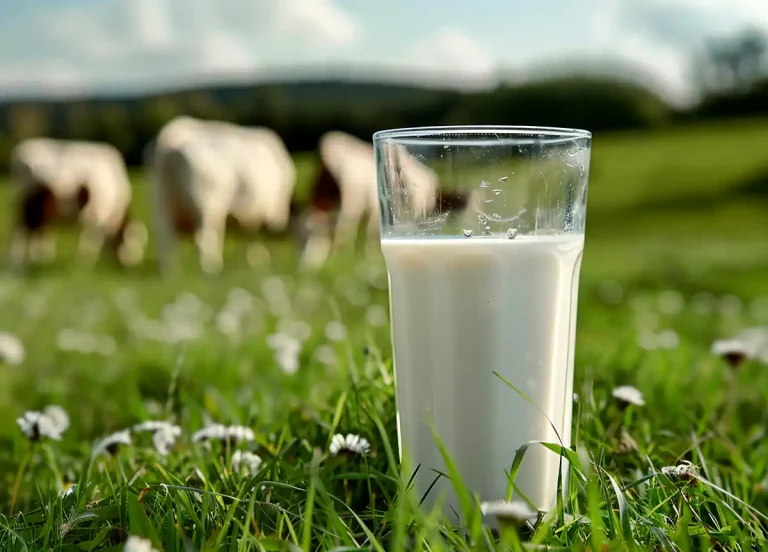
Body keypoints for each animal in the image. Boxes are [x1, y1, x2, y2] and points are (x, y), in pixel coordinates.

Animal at [7, 137, 148, 268]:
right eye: (130, 241)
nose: (132, 264)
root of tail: (22, 148)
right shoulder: (96, 214)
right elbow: (91, 239)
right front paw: (85, 261)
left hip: (34, 208)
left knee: (31, 230)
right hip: (26, 204)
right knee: (21, 231)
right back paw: (18, 262)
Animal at [147, 115, 296, 274]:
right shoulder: (272, 214)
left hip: (161, 203)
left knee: (166, 237)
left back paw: (171, 271)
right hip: (206, 207)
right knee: (204, 238)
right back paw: (211, 268)